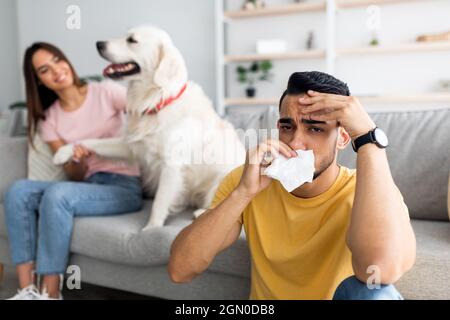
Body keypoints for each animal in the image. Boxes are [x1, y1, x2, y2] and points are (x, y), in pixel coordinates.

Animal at [54, 26, 244, 229]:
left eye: (132, 40)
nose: (99, 44)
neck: (157, 101)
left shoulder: (171, 165)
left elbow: (159, 202)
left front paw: (150, 229)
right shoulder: (131, 145)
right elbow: (93, 142)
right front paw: (64, 152)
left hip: (224, 177)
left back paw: (201, 213)